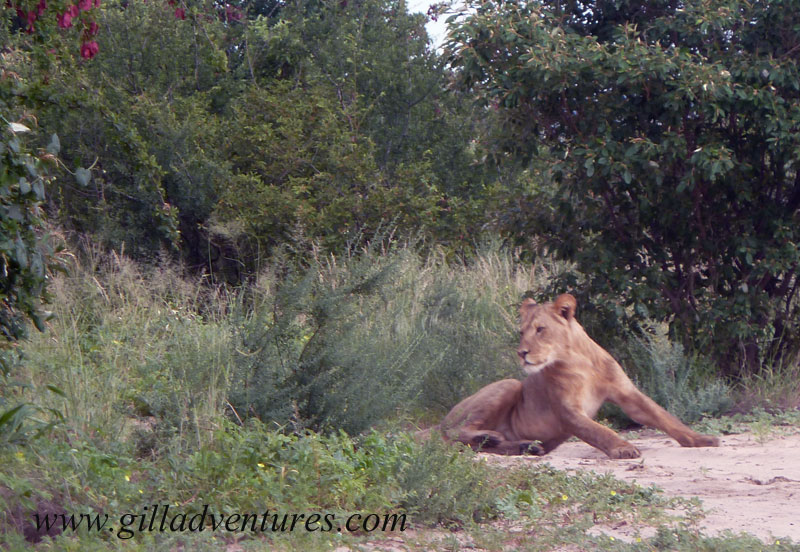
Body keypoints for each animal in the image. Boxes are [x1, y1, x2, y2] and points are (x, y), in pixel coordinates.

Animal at [434, 294, 719, 459]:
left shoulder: (629, 395)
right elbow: (599, 430)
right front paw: (623, 447)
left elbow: (664, 416)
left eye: (540, 329)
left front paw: (700, 439)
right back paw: (490, 436)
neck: (579, 360)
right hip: (508, 385)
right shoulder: (568, 410)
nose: (521, 353)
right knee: (453, 432)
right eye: (521, 332)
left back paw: (524, 446)